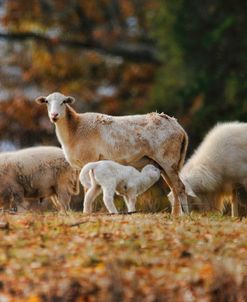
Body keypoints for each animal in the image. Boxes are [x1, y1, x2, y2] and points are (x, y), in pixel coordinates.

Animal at [35, 91, 188, 215]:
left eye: (63, 102)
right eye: (47, 102)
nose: (54, 115)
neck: (75, 129)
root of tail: (179, 128)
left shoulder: (88, 159)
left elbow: (87, 190)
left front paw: (87, 213)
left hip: (168, 159)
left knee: (180, 187)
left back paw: (184, 214)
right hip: (162, 164)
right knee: (174, 190)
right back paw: (175, 215)